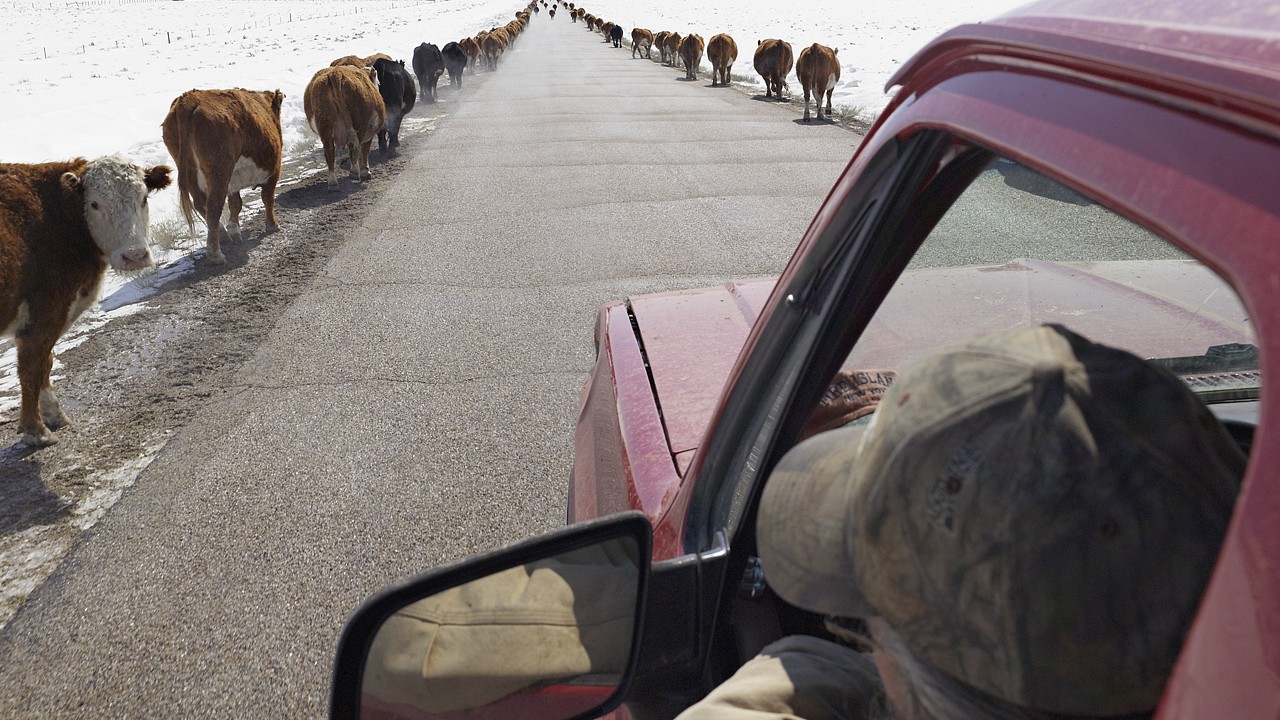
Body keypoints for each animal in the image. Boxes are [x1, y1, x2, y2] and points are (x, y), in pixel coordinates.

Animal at [0, 155, 172, 443]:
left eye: (144, 198)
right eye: (94, 204)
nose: (134, 256)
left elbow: (46, 363)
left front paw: (54, 415)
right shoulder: (45, 314)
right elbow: (32, 368)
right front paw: (36, 431)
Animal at [162, 87, 285, 263]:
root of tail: (188, 100)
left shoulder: (234, 182)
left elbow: (236, 203)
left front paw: (234, 229)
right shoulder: (274, 170)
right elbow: (267, 198)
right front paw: (272, 224)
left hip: (189, 171)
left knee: (201, 204)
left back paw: (224, 235)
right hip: (219, 170)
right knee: (213, 207)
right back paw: (216, 254)